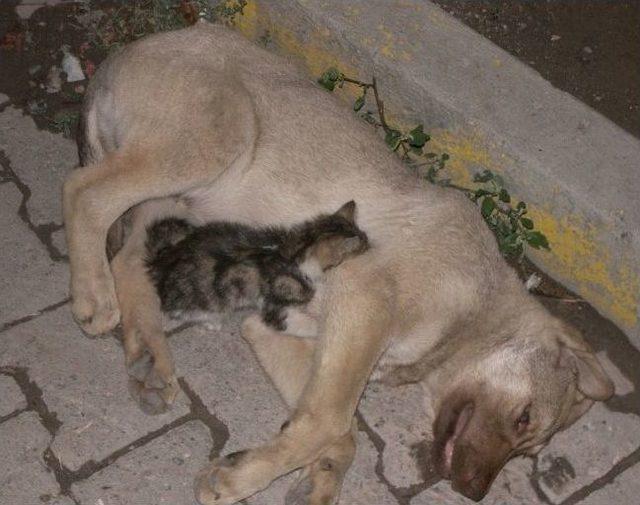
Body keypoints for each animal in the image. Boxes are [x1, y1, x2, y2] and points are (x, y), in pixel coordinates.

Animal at [144, 201, 364, 330]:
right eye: (363, 244)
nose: (369, 243)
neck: (296, 249)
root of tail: (160, 261)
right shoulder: (276, 306)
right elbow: (306, 325)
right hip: (207, 302)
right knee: (186, 313)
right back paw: (212, 322)